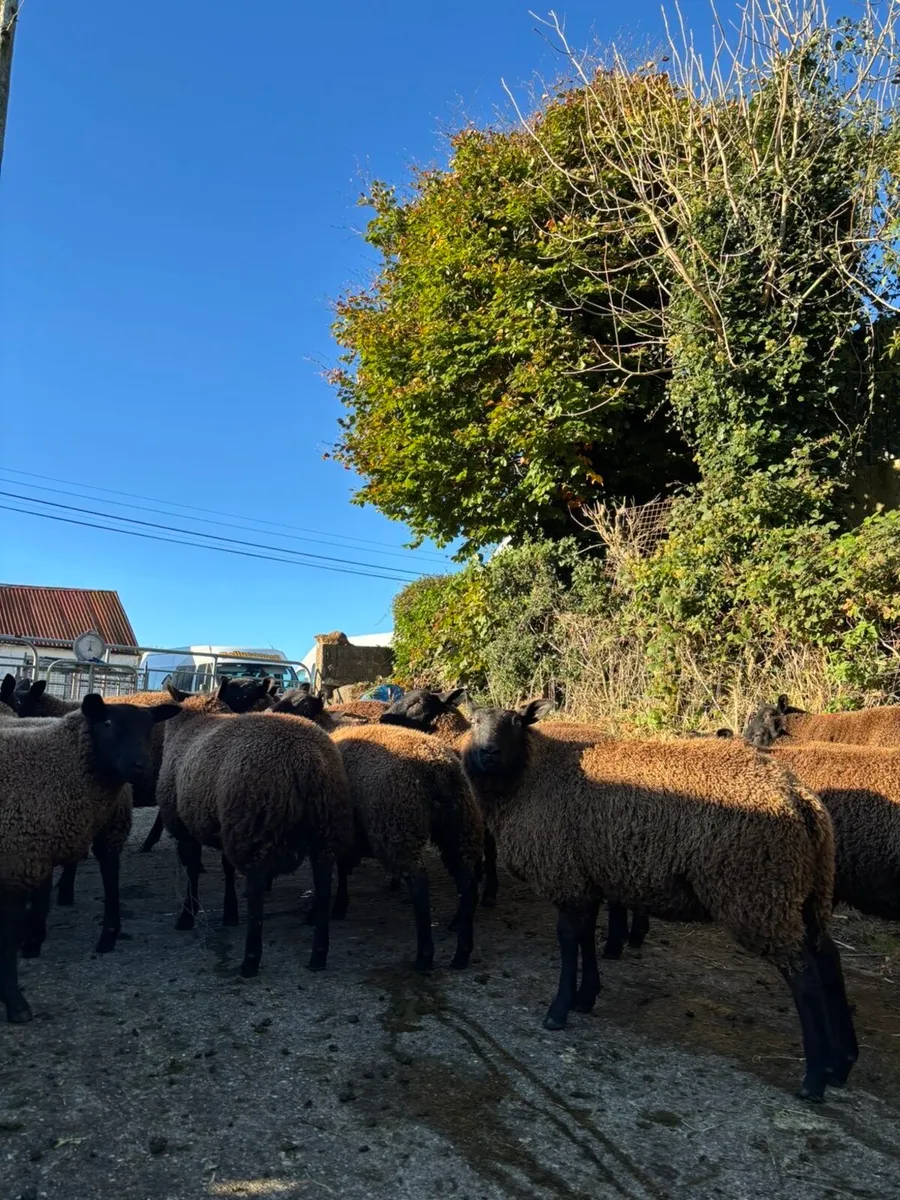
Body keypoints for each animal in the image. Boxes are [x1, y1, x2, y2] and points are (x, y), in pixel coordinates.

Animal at [156, 689, 354, 975]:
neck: (195, 720)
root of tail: (306, 761)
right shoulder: (225, 823)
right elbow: (226, 869)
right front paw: (229, 913)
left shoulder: (185, 826)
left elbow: (192, 872)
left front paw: (187, 916)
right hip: (323, 827)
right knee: (324, 884)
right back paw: (318, 954)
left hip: (257, 823)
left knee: (257, 889)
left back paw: (250, 959)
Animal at [460, 699, 857, 1101]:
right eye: (475, 721)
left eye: (516, 723)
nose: (488, 752)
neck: (532, 777)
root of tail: (800, 799)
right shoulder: (585, 877)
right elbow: (586, 938)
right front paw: (586, 996)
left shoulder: (564, 874)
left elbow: (569, 941)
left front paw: (558, 1011)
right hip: (802, 891)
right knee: (827, 957)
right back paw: (839, 1064)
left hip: (758, 891)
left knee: (804, 975)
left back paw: (814, 1080)